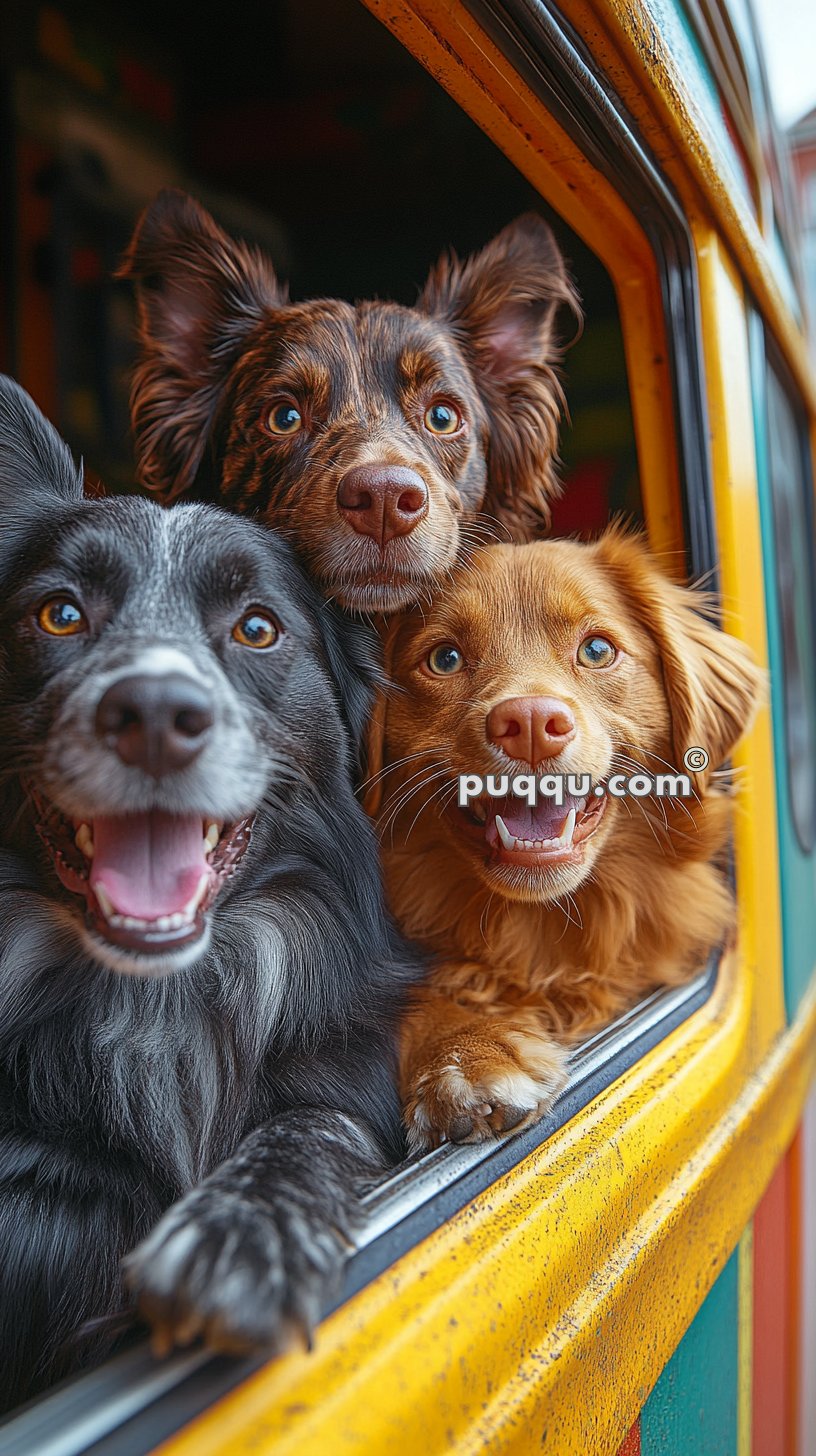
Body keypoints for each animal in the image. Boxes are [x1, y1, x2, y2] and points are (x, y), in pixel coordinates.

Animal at [0, 378, 419, 1409]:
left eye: (257, 627)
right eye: (59, 614)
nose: (154, 712)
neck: (157, 1003)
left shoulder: (347, 1082)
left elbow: (313, 1124)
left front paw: (242, 1235)